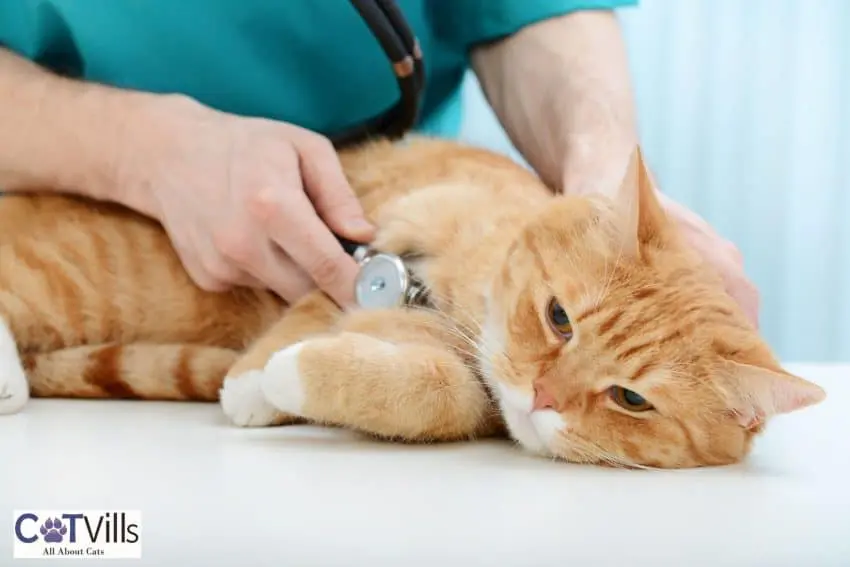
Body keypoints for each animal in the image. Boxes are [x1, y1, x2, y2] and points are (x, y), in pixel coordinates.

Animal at [0, 136, 820, 466]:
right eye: (558, 318)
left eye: (631, 399)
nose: (542, 396)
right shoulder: (377, 238)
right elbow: (310, 308)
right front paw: (254, 381)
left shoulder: (456, 379)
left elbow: (427, 393)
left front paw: (292, 378)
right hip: (81, 274)